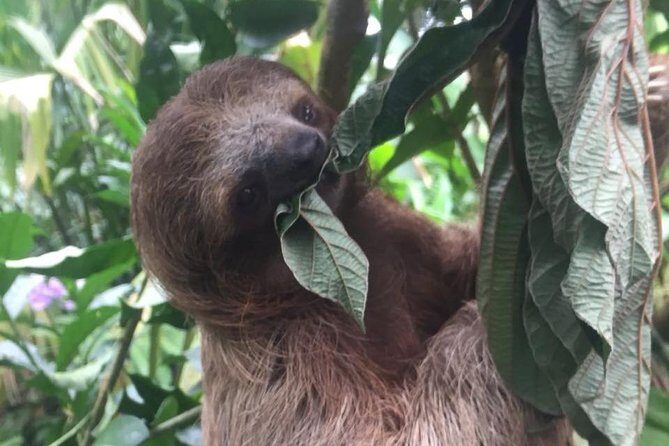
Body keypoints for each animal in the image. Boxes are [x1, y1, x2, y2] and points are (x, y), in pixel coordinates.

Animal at [131, 56, 571, 445]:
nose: (304, 150)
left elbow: (463, 266)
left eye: (305, 112)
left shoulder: (398, 235)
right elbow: (391, 437)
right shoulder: (281, 357)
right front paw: (494, 320)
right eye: (247, 195)